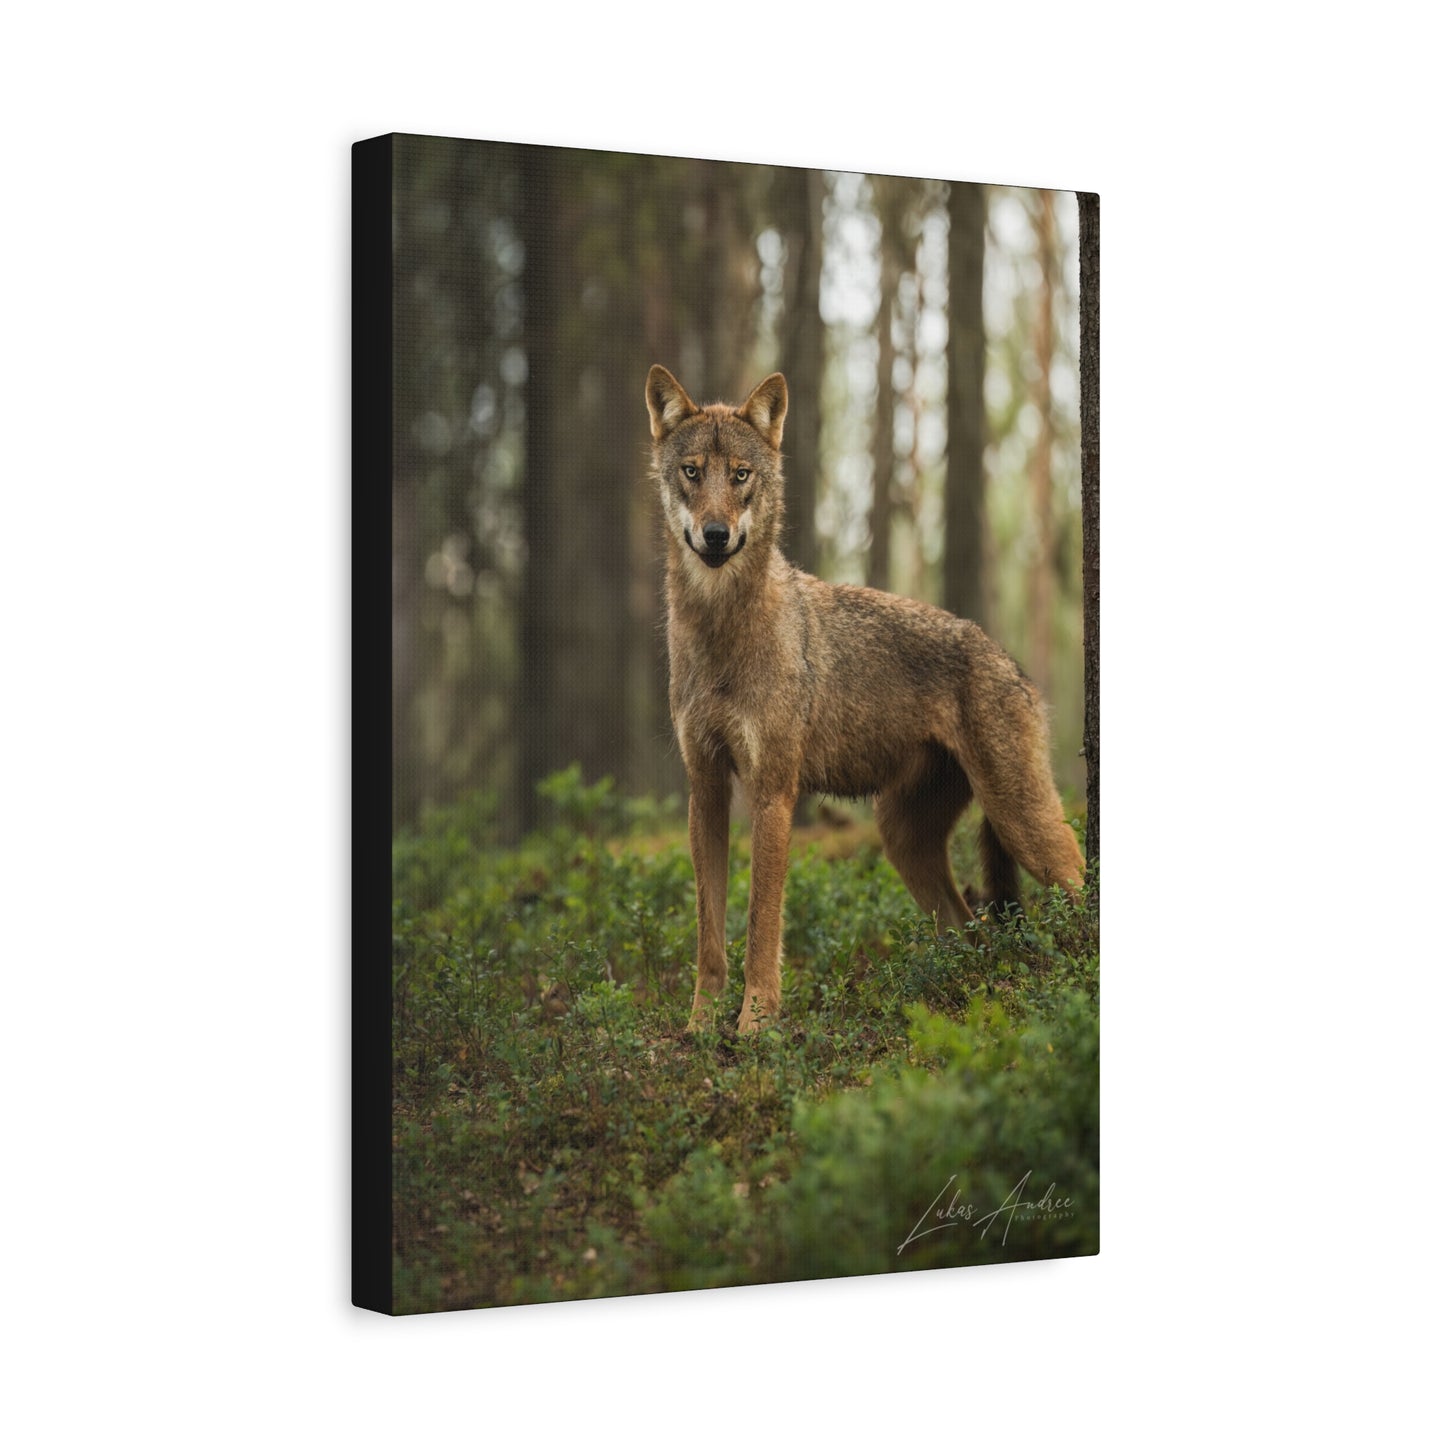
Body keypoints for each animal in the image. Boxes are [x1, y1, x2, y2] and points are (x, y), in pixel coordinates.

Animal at [646, 365, 1084, 1033]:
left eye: (741, 475)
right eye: (692, 472)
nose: (716, 536)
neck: (720, 628)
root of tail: (1011, 662)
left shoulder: (774, 793)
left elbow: (760, 927)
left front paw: (755, 1028)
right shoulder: (707, 790)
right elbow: (710, 936)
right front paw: (698, 1029)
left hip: (1021, 820)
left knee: (1077, 881)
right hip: (902, 839)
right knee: (972, 930)